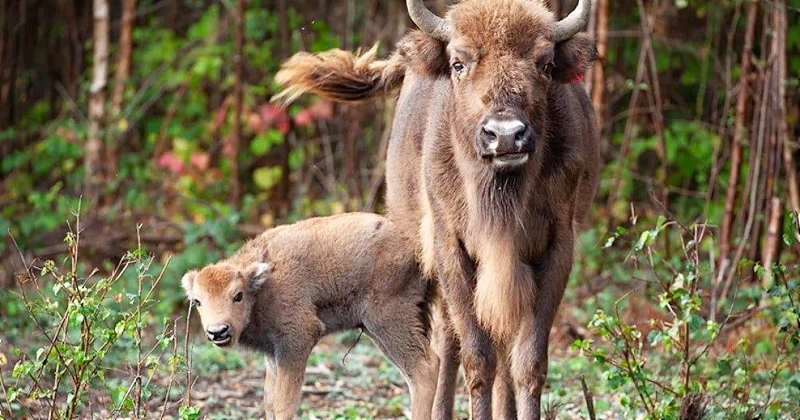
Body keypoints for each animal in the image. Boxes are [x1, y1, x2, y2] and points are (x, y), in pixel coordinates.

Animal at [181, 213, 438, 420]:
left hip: (388, 320)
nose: (218, 331)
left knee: (424, 369)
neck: (262, 286)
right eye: (197, 301)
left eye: (238, 295)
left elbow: (284, 404)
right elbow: (269, 401)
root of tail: (414, 247)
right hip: (379, 330)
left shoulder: (297, 339)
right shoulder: (273, 353)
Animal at [276, 1, 600, 418]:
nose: (506, 135)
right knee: (448, 345)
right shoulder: (451, 250)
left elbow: (529, 362)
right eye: (458, 63)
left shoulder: (555, 250)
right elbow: (477, 357)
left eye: (544, 64)